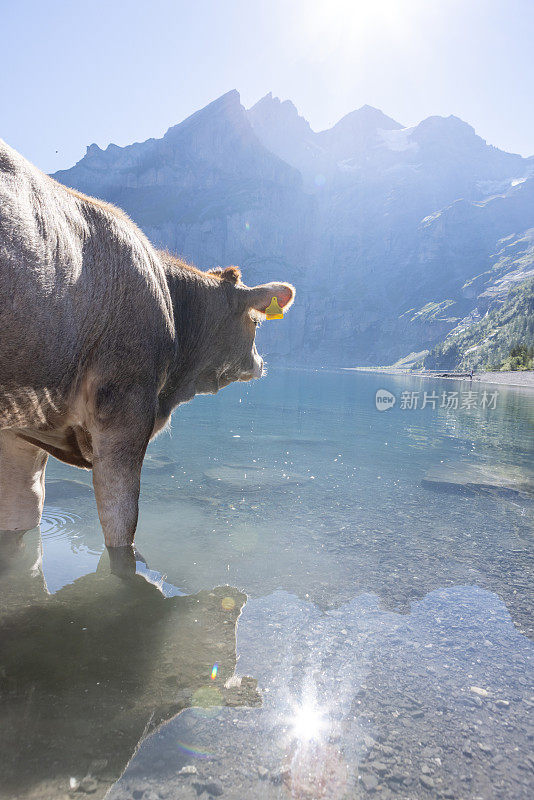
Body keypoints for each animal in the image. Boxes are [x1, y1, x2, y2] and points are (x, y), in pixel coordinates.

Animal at [0, 141, 298, 548]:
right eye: (256, 321)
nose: (260, 362)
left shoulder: (22, 430)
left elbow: (21, 515)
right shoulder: (126, 409)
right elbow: (121, 527)